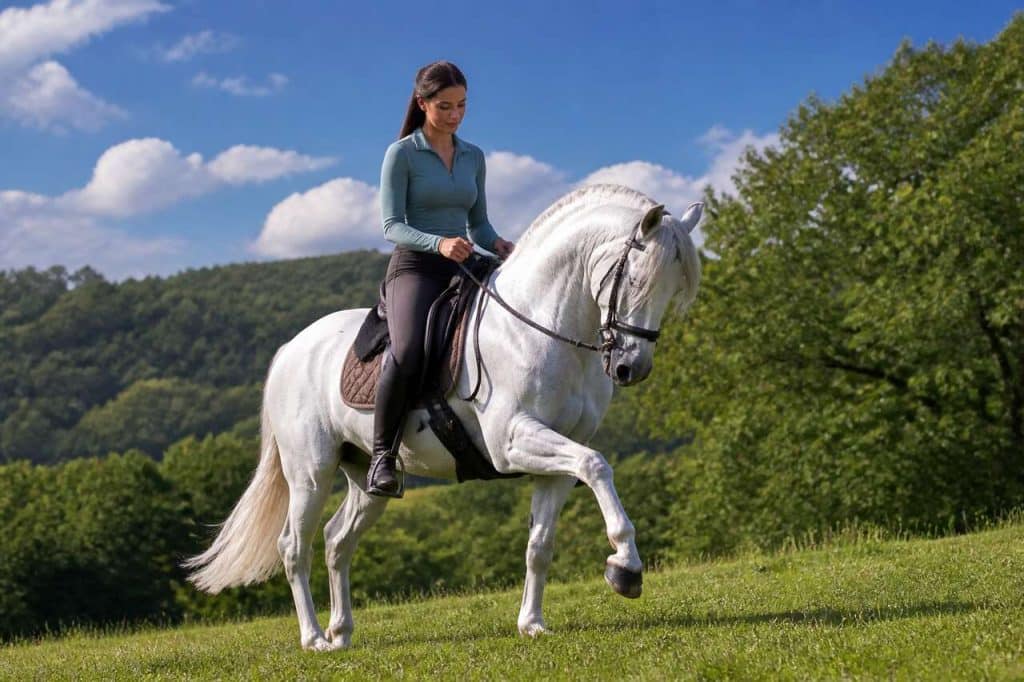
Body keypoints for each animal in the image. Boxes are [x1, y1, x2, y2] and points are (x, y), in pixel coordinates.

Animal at [184, 184, 703, 651]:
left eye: (673, 290)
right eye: (635, 280)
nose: (631, 368)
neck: (542, 327)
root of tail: (291, 348)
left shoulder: (556, 458)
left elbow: (541, 543)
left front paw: (532, 624)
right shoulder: (513, 441)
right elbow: (598, 465)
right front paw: (626, 568)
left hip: (366, 478)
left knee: (337, 541)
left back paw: (342, 632)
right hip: (310, 472)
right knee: (294, 547)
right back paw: (313, 638)